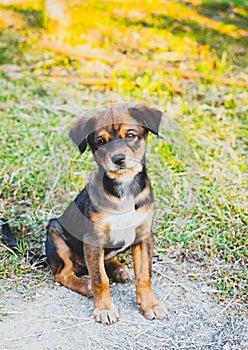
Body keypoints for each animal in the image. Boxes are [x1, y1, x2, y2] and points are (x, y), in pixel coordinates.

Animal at [45, 102, 166, 326]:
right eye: (101, 142)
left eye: (131, 135)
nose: (118, 159)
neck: (124, 188)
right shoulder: (93, 238)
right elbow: (100, 278)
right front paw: (104, 308)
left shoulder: (143, 236)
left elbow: (144, 275)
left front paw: (150, 304)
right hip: (56, 233)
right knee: (63, 274)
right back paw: (87, 286)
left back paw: (119, 269)